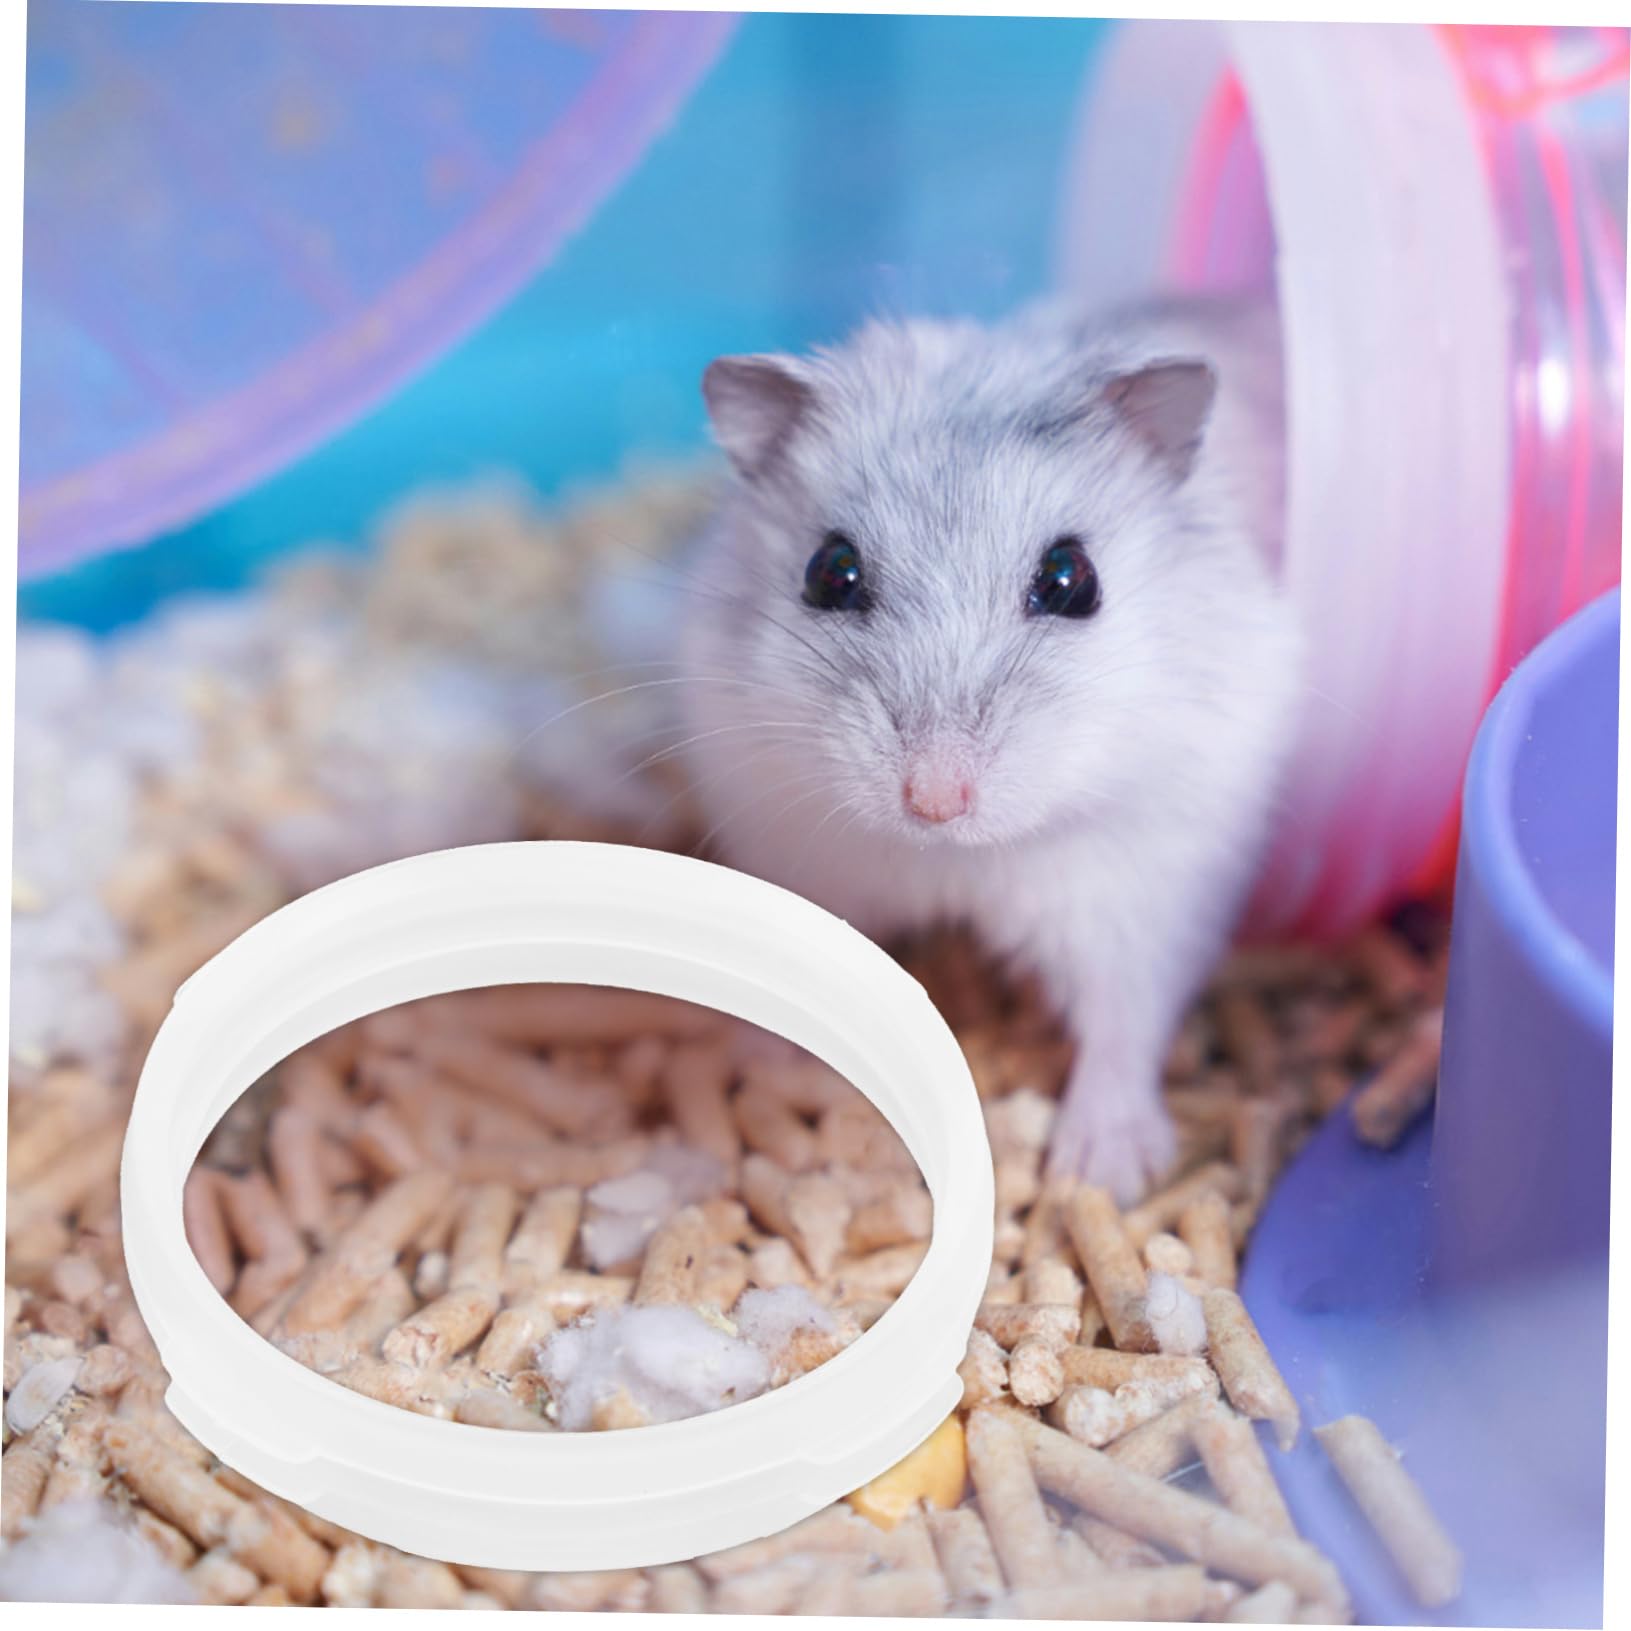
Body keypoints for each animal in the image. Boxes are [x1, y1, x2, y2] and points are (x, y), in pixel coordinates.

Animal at [676, 295, 1304, 1202]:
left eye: (1070, 579)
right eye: (829, 572)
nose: (934, 799)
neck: (955, 858)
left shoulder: (1144, 892)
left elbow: (1124, 1017)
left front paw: (1100, 1174)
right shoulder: (793, 847)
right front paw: (752, 1061)